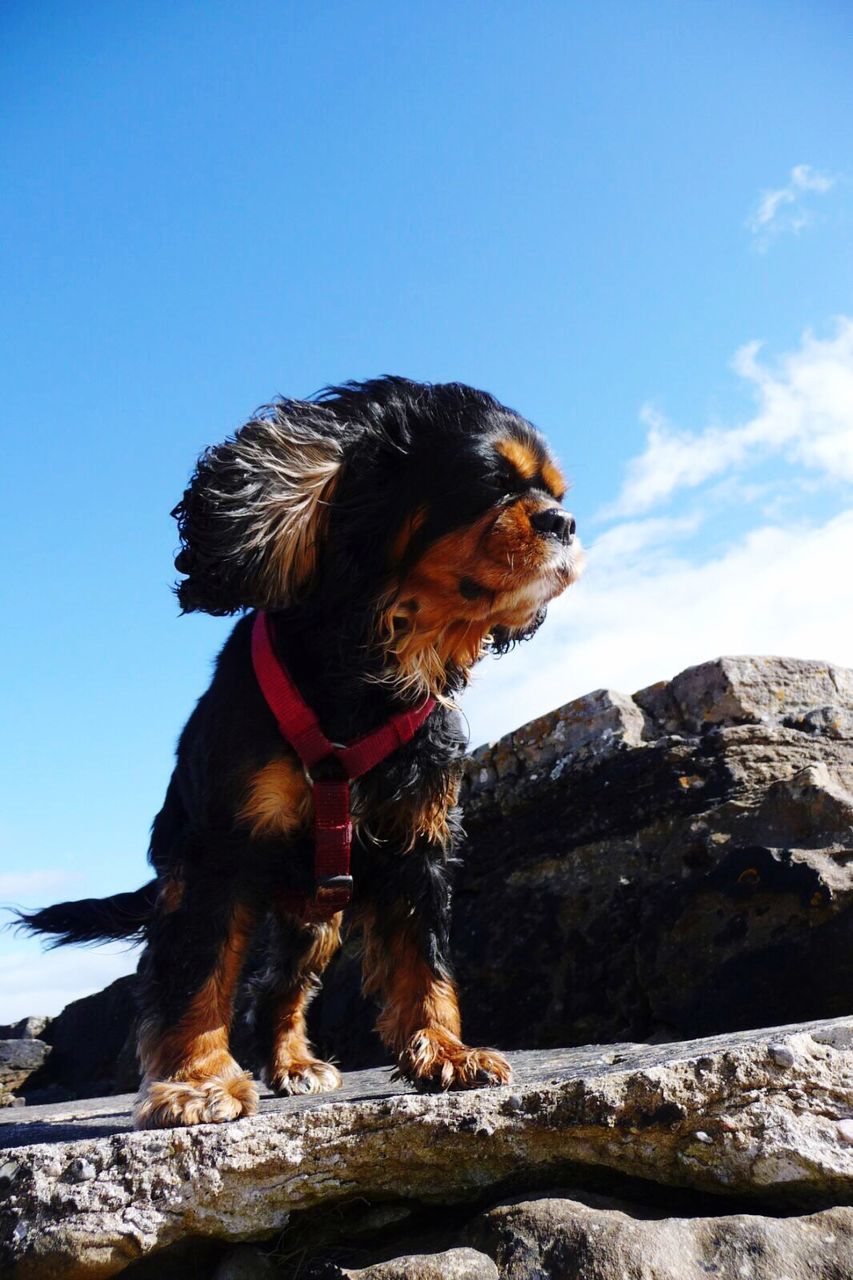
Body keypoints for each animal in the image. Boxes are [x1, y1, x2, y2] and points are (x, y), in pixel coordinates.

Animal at [19, 376, 581, 1131]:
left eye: (558, 493)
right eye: (488, 483)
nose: (563, 523)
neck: (372, 670)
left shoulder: (420, 845)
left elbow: (425, 960)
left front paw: (444, 1052)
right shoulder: (217, 854)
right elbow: (196, 974)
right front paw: (198, 1083)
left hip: (316, 920)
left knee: (279, 992)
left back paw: (291, 1065)